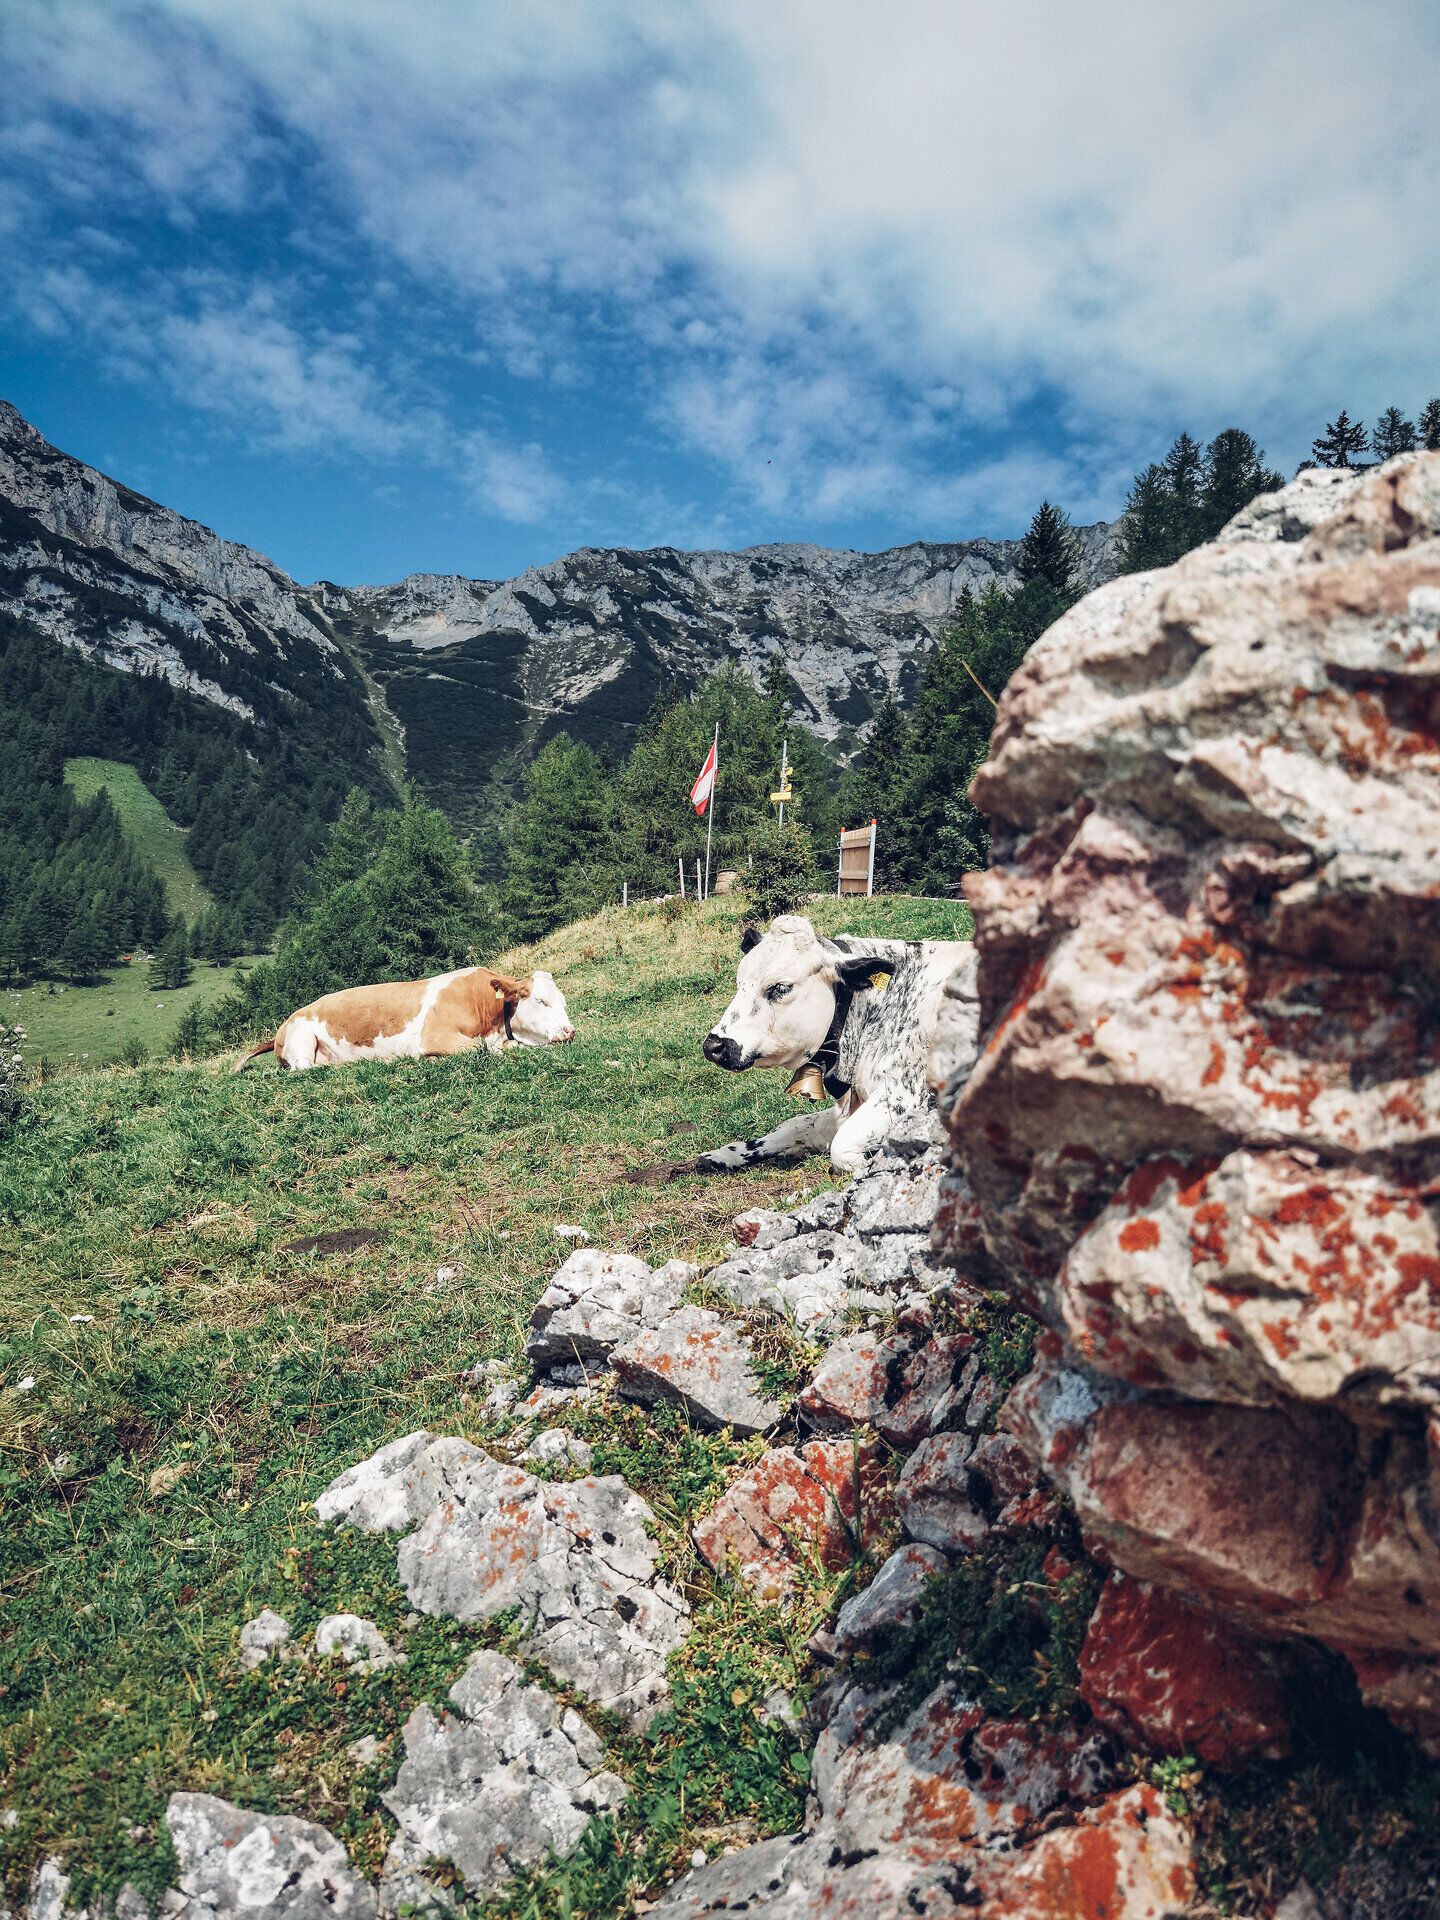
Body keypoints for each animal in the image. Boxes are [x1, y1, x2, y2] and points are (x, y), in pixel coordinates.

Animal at [232, 966, 575, 1072]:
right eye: (541, 1000)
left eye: (563, 1001)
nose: (569, 1032)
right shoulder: (434, 1036)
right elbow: (480, 1049)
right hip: (301, 1039)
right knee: (302, 1069)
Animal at [699, 914, 978, 1174]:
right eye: (739, 983)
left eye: (780, 987)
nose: (713, 1046)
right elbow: (795, 1125)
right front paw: (724, 1154)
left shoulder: (904, 1094)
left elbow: (841, 1146)